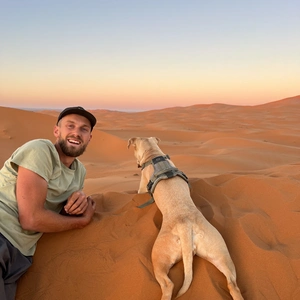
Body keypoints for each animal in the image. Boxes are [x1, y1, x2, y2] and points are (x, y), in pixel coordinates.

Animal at [127, 137, 244, 298]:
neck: (154, 154)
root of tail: (185, 226)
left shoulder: (142, 186)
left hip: (158, 255)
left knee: (168, 284)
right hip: (219, 251)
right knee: (232, 283)